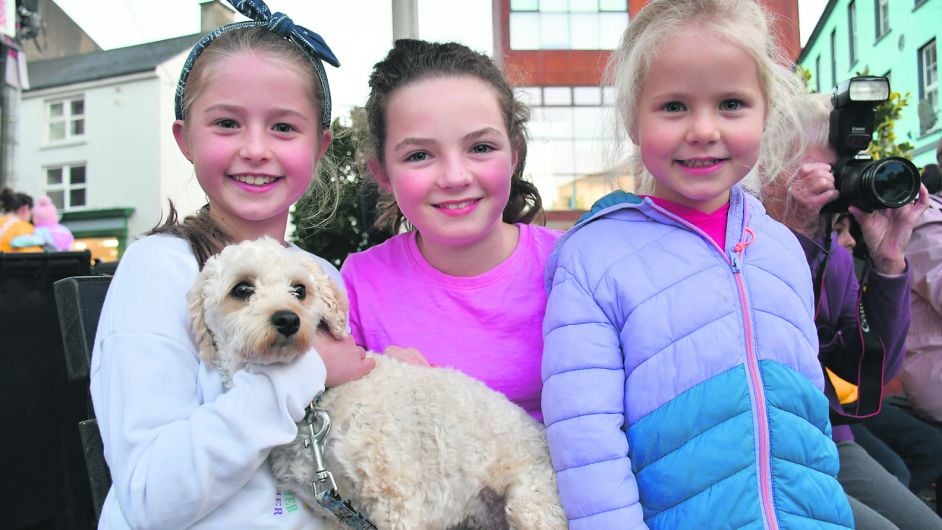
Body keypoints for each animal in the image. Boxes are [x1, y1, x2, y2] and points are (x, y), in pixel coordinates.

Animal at [188, 237, 564, 524]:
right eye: (242, 289)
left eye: (299, 290)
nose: (287, 319)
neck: (316, 408)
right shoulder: (334, 511)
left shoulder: (396, 499)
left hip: (532, 504)